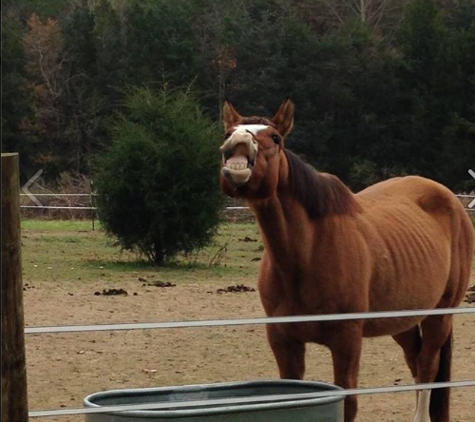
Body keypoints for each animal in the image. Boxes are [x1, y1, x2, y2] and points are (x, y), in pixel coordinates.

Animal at [219, 99, 475, 422]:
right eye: (228, 132)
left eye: (275, 138)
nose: (238, 143)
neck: (306, 256)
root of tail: (450, 199)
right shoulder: (283, 340)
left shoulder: (347, 340)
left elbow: (349, 403)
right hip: (402, 320)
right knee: (416, 362)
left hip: (439, 314)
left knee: (428, 367)